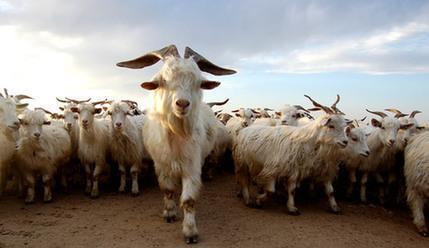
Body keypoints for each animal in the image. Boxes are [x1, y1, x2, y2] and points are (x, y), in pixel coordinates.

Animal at [115, 44, 236, 244]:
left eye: (198, 83)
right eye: (163, 80)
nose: (182, 103)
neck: (176, 135)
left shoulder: (192, 165)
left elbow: (188, 200)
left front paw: (190, 232)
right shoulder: (161, 164)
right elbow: (168, 189)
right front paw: (169, 213)